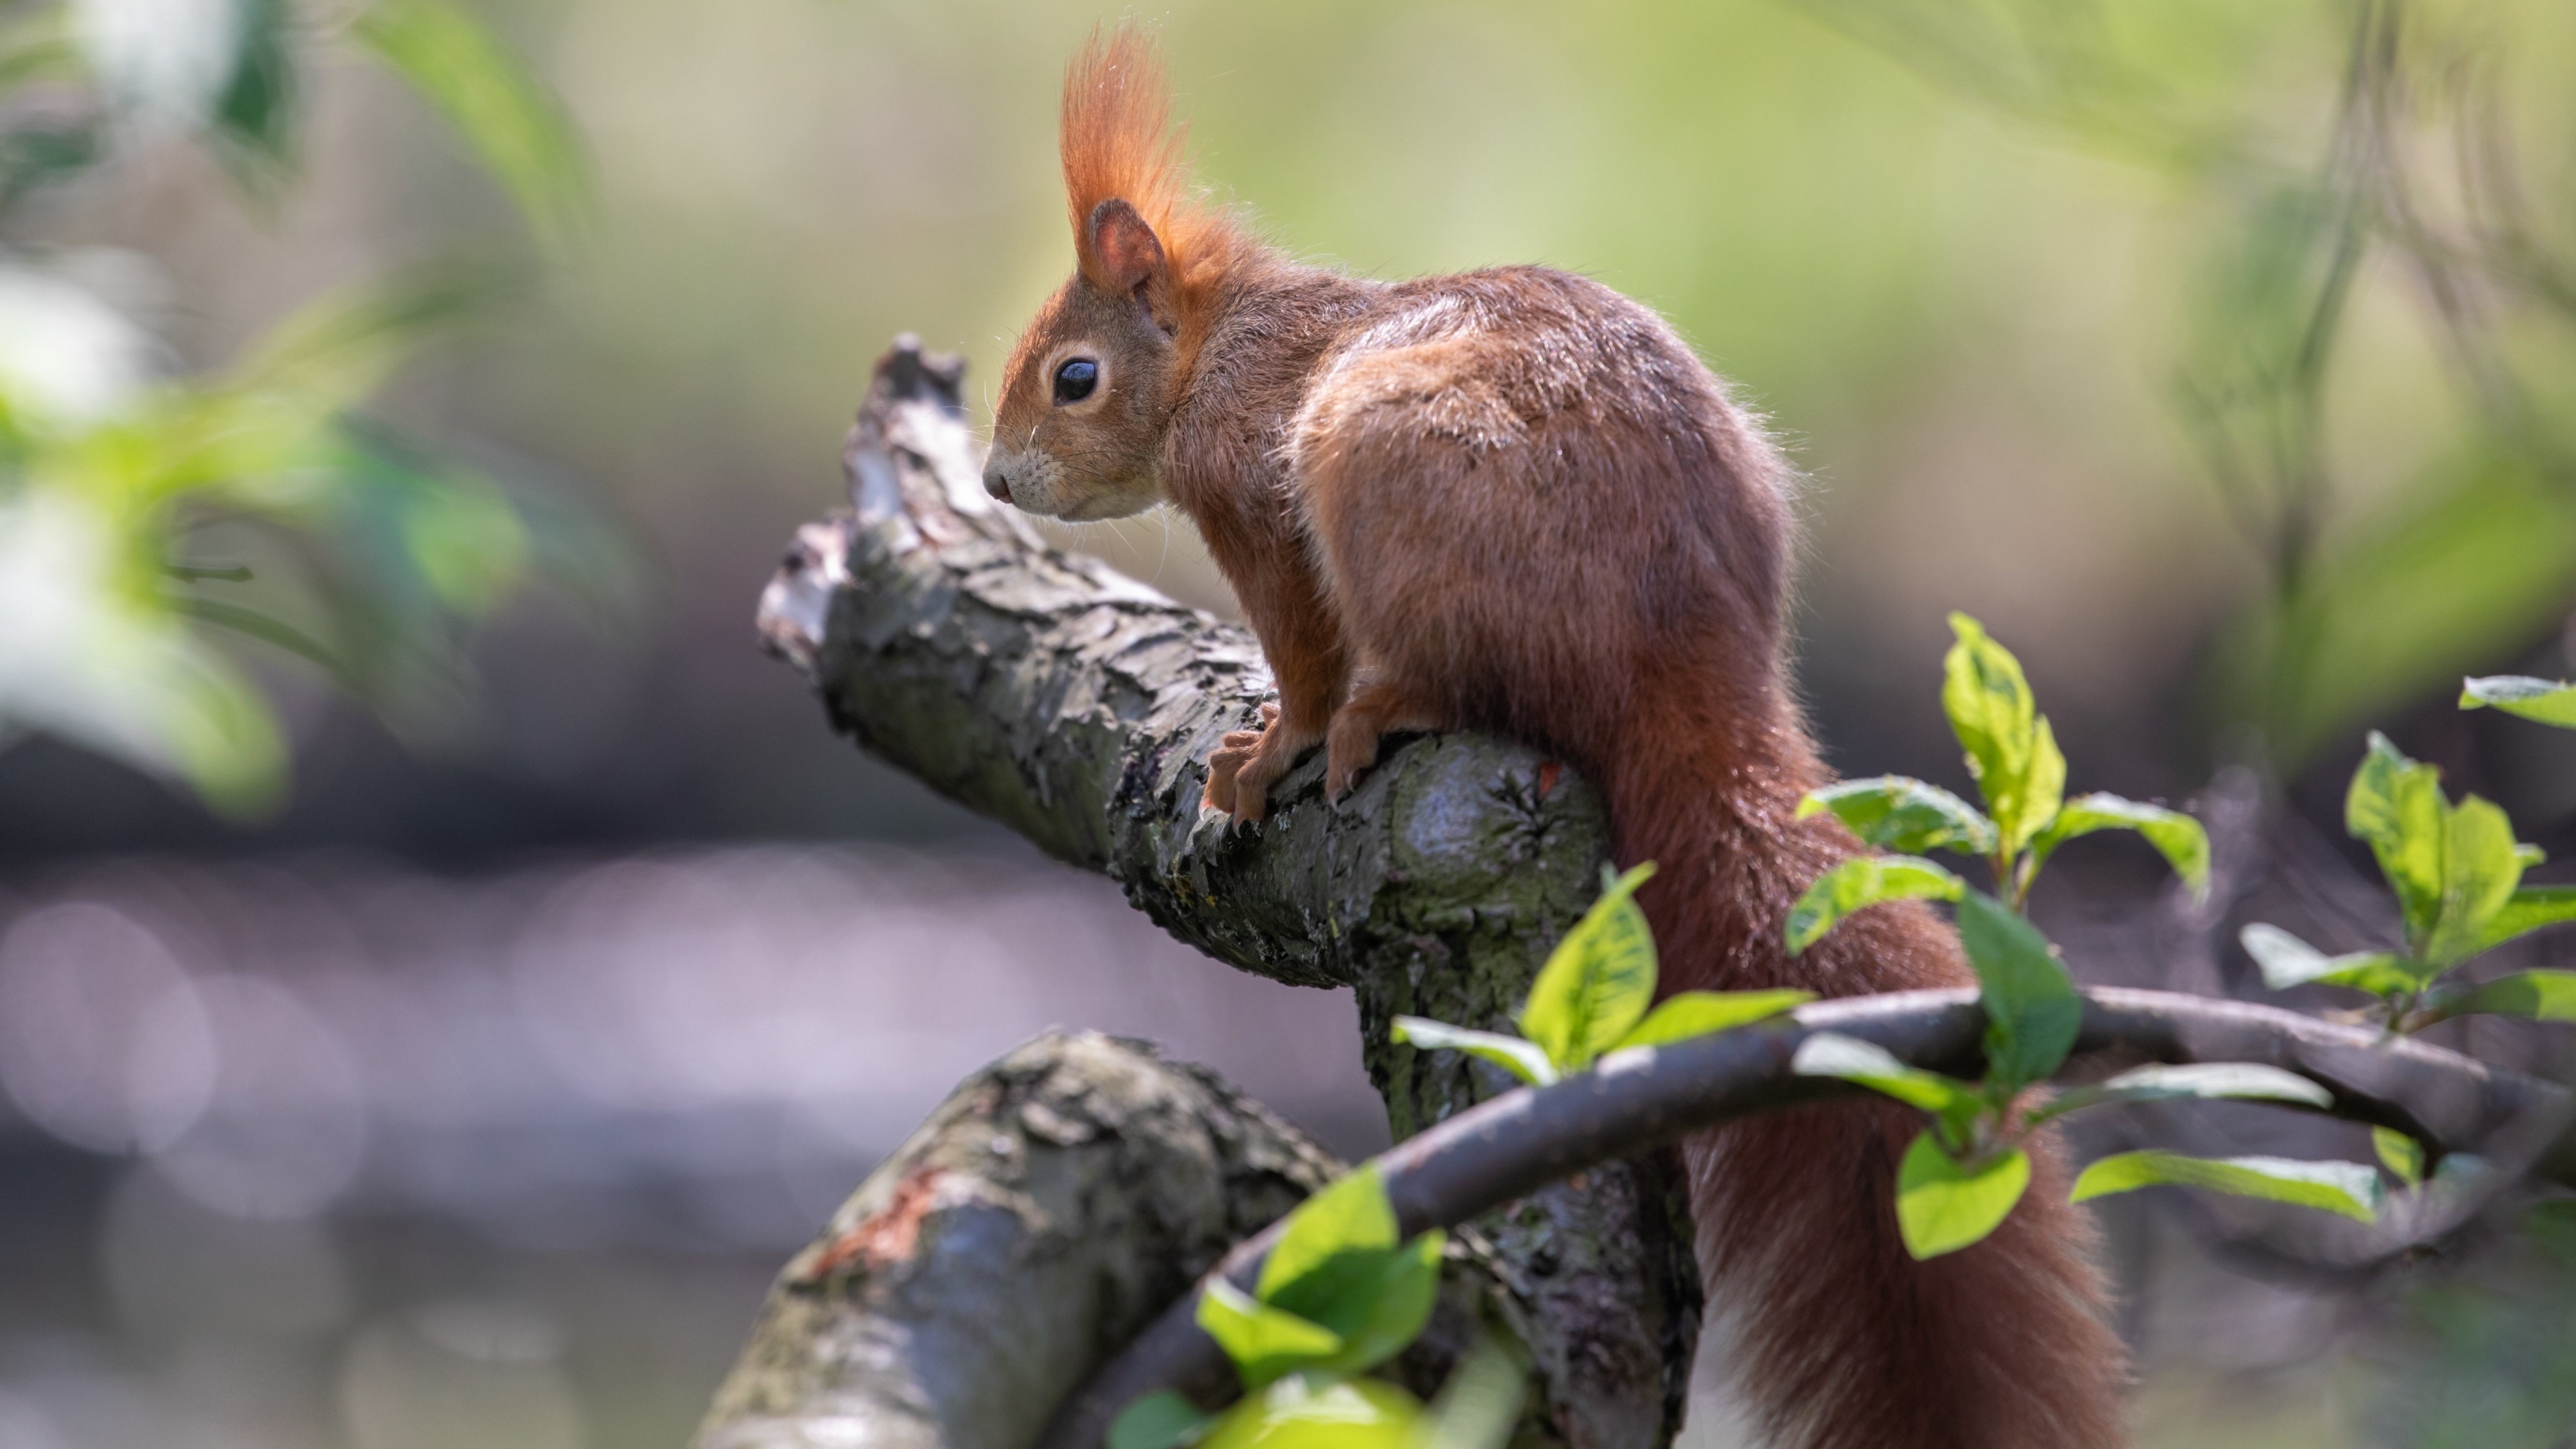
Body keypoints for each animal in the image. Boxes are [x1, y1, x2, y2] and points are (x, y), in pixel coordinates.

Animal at [973, 25, 2123, 1444]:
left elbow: (1303, 652)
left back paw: (1382, 714)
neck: (1225, 341)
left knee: (1445, 676)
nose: (996, 482)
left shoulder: (1256, 496)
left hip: (1379, 469)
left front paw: (1268, 749)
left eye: (1074, 377)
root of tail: (1682, 659)